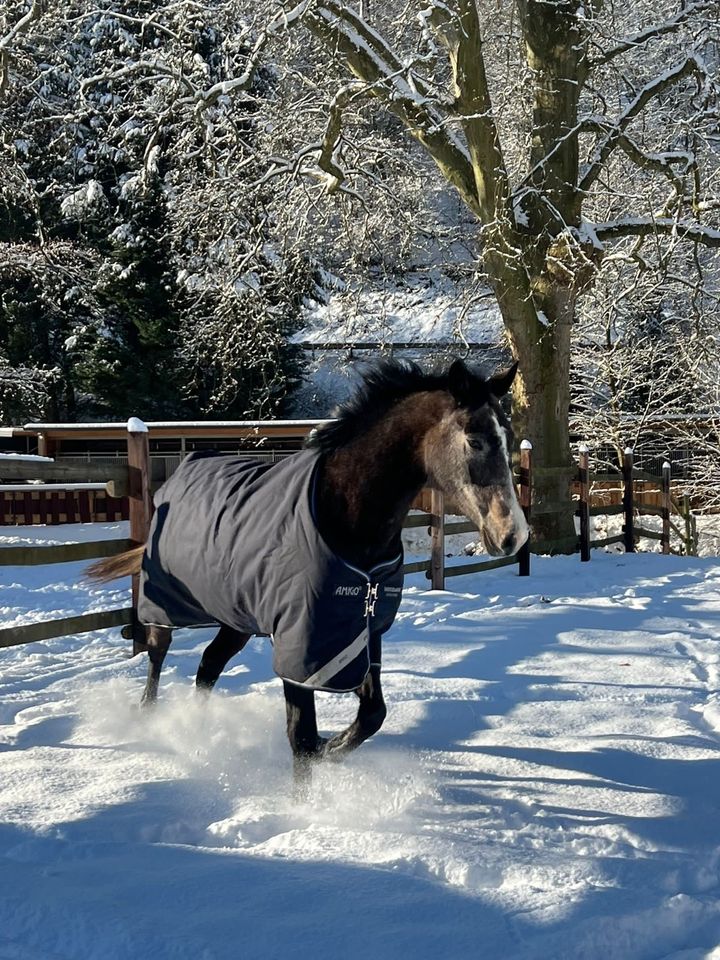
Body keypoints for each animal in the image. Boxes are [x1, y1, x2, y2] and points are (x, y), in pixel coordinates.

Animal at [88, 356, 528, 784]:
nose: (514, 535)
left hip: (236, 617)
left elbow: (371, 715)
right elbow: (299, 737)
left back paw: (199, 730)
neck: (344, 515)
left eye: (508, 440)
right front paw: (303, 803)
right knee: (157, 654)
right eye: (474, 440)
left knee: (208, 666)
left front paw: (329, 749)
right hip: (166, 603)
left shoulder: (360, 634)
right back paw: (150, 719)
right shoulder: (300, 645)